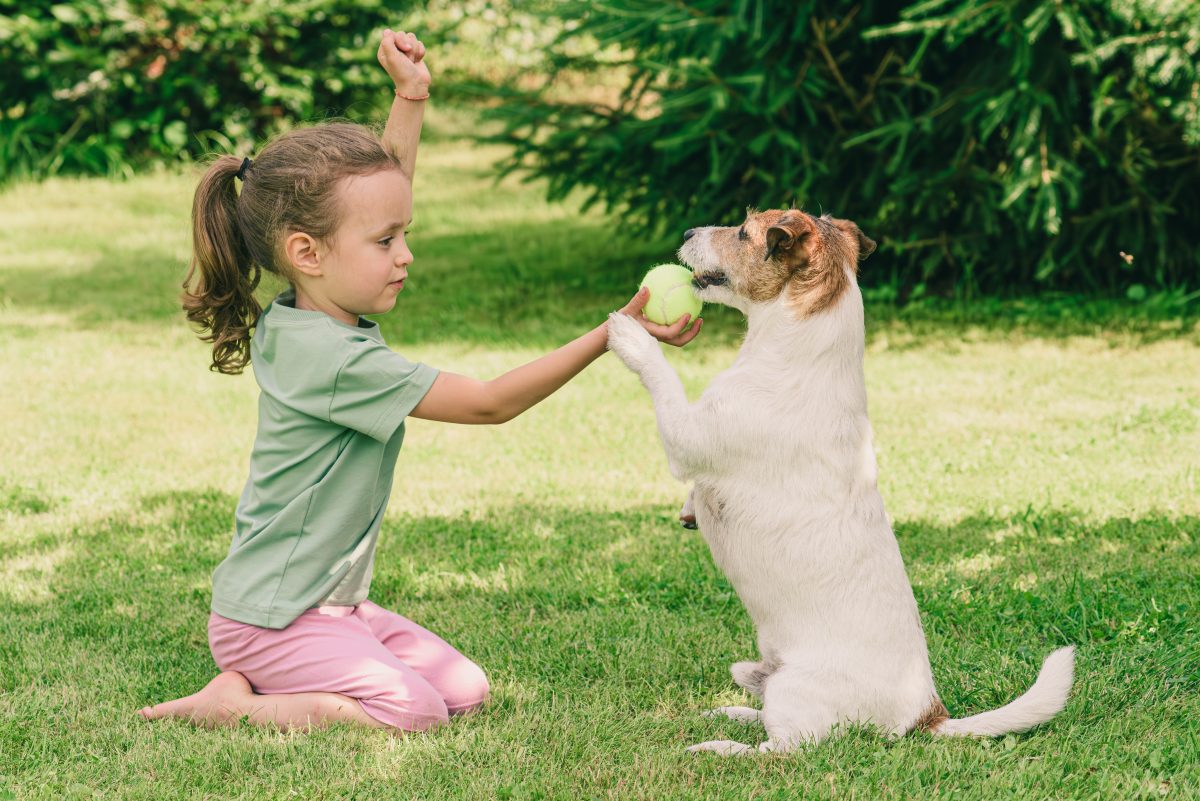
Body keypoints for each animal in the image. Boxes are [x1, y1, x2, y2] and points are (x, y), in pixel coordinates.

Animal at [604, 209, 1075, 753]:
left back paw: (721, 748)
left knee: (783, 750)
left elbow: (662, 379)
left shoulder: (687, 435)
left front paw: (630, 336)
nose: (685, 233)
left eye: (743, 231)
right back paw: (735, 712)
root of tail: (925, 713)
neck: (798, 350)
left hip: (796, 690)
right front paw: (688, 508)